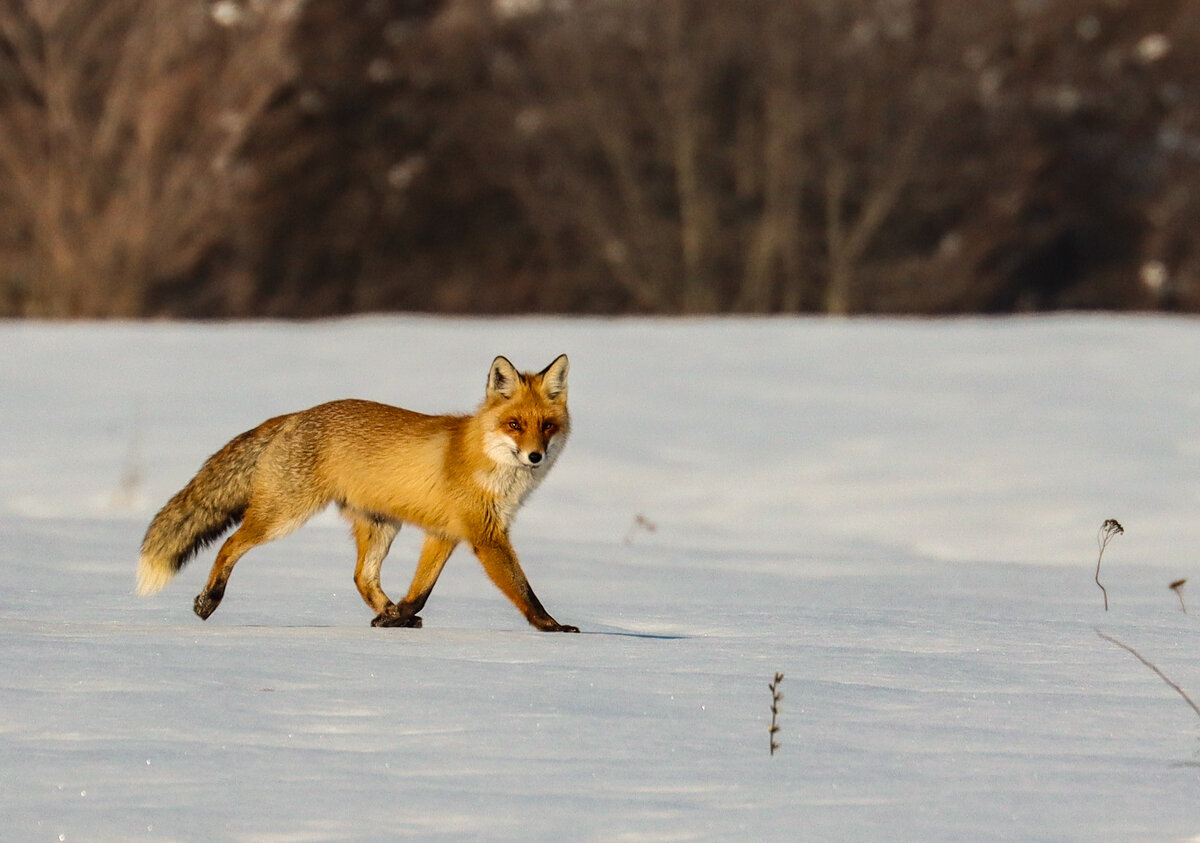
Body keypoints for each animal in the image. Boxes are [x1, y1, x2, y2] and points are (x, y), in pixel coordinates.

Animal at [136, 355, 576, 634]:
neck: (485, 457)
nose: (536, 456)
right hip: (284, 515)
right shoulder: (485, 535)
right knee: (230, 544)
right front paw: (552, 626)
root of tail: (296, 415)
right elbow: (523, 590)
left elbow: (420, 592)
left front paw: (396, 616)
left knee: (361, 577)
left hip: (380, 526)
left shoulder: (445, 533)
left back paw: (389, 613)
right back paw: (209, 599)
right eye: (515, 424)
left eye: (547, 426)